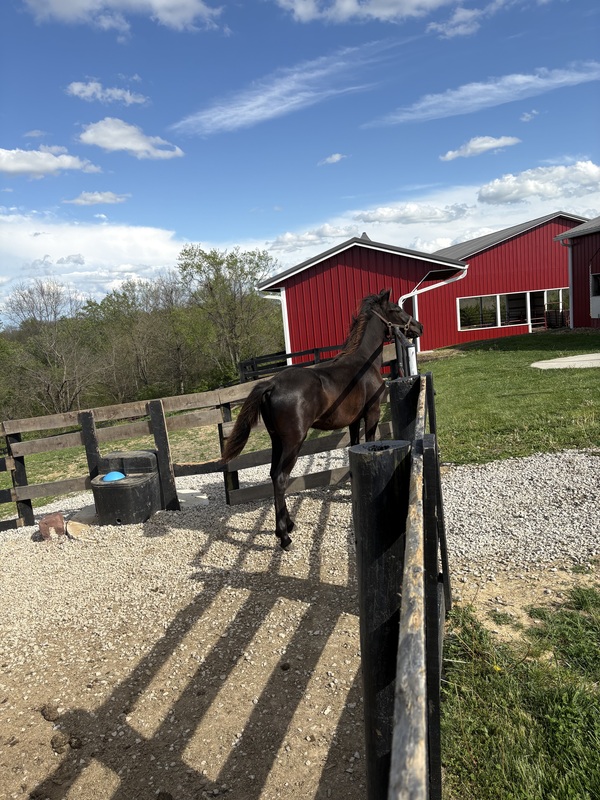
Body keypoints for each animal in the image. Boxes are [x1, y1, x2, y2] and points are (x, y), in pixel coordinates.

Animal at [220, 288, 423, 550]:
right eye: (396, 310)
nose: (418, 327)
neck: (364, 363)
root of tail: (271, 384)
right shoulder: (372, 413)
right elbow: (368, 441)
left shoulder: (353, 421)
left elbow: (354, 446)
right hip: (294, 442)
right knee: (281, 477)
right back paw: (284, 536)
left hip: (277, 441)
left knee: (273, 474)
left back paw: (288, 525)